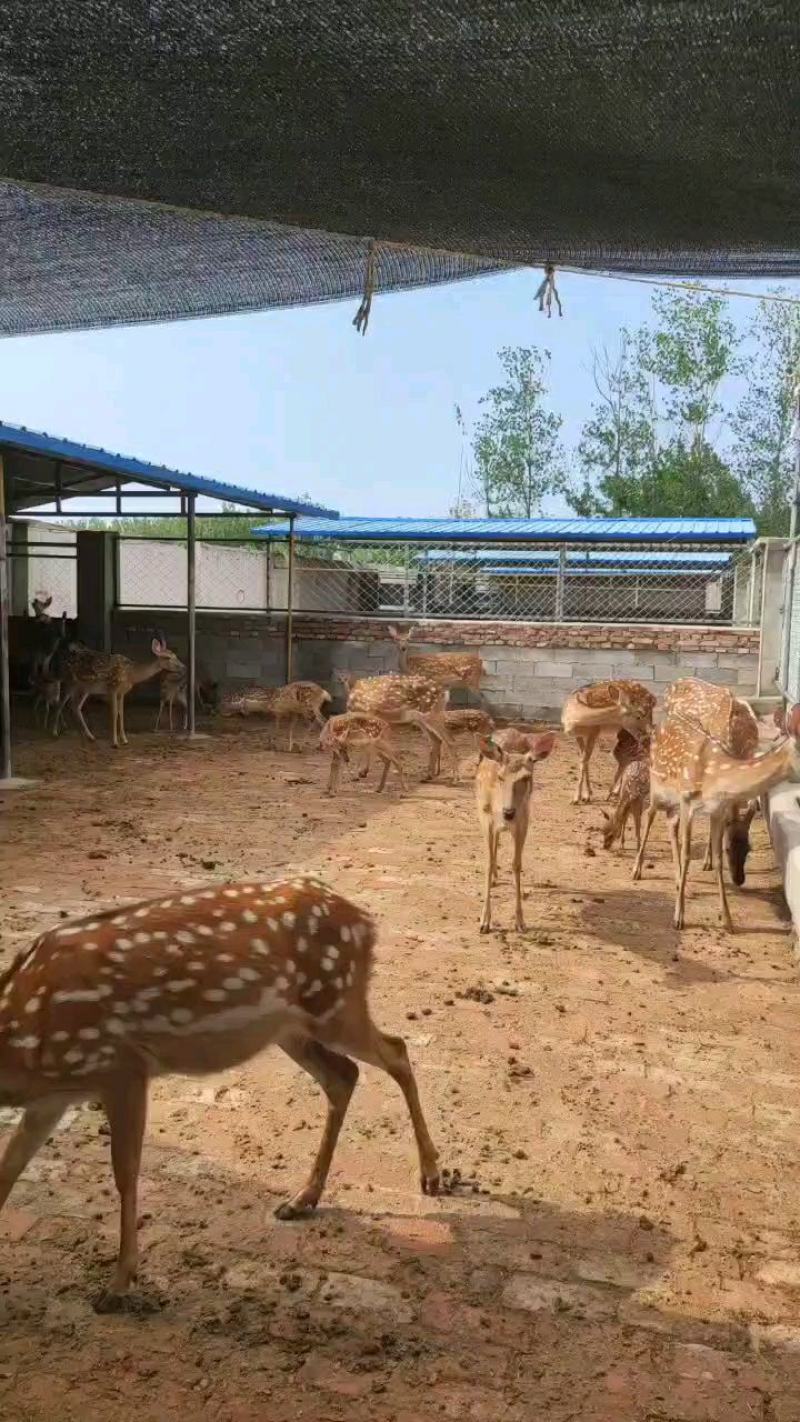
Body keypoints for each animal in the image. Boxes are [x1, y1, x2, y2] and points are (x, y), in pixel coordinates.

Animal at [0, 876, 439, 1298]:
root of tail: (366, 921)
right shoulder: (51, 1100)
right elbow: (9, 1168)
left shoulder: (122, 1068)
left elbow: (125, 1172)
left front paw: (120, 1285)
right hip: (291, 1028)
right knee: (344, 1075)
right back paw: (303, 1198)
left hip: (335, 1004)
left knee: (397, 1051)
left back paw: (431, 1175)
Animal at [53, 637, 183, 748]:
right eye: (167, 657)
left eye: (175, 655)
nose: (182, 666)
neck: (131, 674)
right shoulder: (112, 688)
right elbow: (115, 713)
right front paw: (115, 743)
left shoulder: (122, 692)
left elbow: (121, 713)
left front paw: (125, 740)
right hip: (69, 682)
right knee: (59, 703)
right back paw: (55, 732)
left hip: (86, 688)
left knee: (75, 706)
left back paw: (90, 737)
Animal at [475, 732, 556, 932]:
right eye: (500, 777)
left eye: (526, 777)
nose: (509, 812)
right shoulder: (484, 816)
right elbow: (487, 863)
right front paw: (484, 921)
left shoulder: (523, 822)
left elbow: (516, 864)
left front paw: (520, 922)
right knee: (495, 843)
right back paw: (495, 878)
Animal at [632, 706, 800, 931]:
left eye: (750, 849)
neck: (716, 778)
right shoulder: (687, 800)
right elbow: (687, 855)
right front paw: (678, 917)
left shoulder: (717, 811)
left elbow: (718, 859)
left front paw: (727, 919)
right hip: (657, 783)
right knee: (650, 814)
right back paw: (636, 870)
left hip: (672, 798)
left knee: (670, 823)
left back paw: (680, 883)